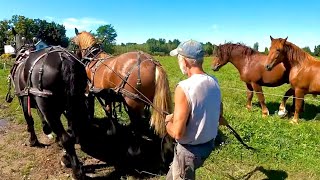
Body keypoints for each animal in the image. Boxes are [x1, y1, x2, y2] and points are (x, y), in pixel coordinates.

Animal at [5, 28, 89, 180]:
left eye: (12, 41)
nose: (13, 53)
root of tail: (64, 58)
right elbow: (41, 117)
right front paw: (47, 130)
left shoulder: (24, 98)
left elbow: (29, 120)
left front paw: (33, 140)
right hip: (75, 101)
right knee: (72, 133)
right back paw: (67, 157)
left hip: (47, 105)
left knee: (66, 138)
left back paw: (75, 170)